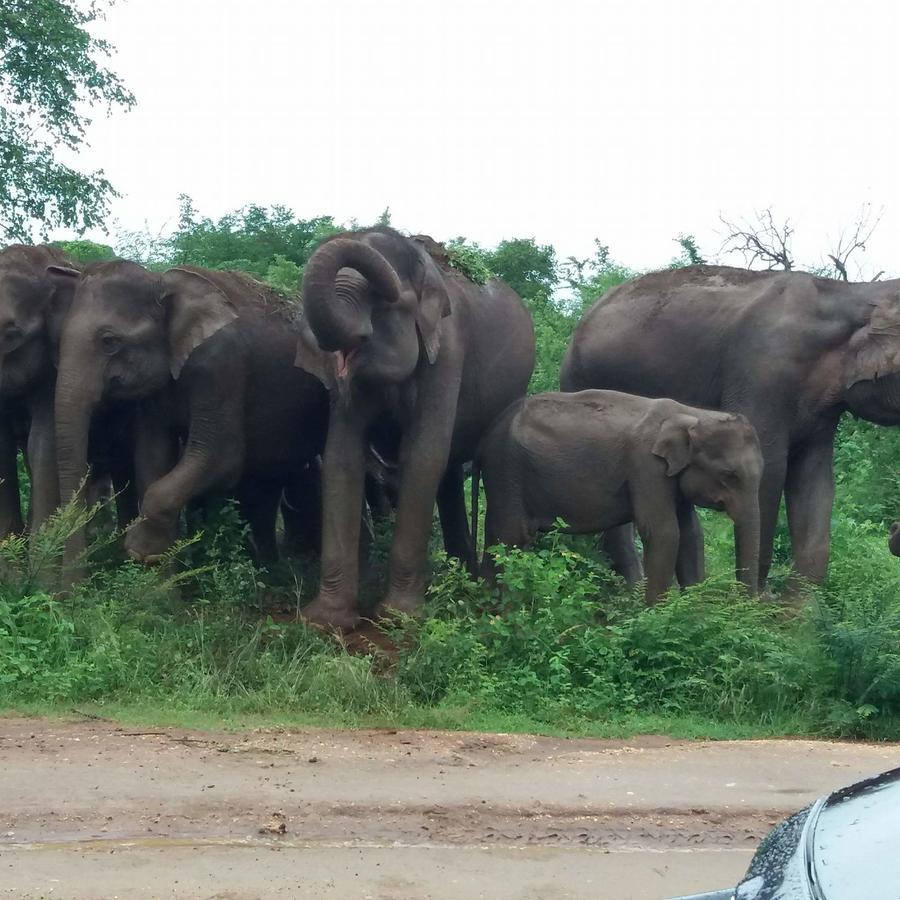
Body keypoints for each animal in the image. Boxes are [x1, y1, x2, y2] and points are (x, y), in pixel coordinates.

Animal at [50, 260, 330, 572]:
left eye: (109, 340)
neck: (160, 280)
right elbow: (152, 456)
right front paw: (158, 566)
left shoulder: (221, 366)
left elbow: (220, 458)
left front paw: (141, 549)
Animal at [296, 229, 536, 628]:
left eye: (385, 300)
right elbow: (341, 457)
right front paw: (325, 621)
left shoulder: (449, 352)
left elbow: (423, 457)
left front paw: (397, 618)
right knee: (450, 475)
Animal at [474, 388, 764, 604]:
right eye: (729, 475)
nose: (746, 604)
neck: (693, 415)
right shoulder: (646, 467)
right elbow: (664, 533)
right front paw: (656, 616)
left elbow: (691, 534)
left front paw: (695, 609)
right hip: (506, 469)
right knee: (510, 537)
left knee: (498, 535)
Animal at [564, 264, 900, 596]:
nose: (893, 531)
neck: (850, 293)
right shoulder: (762, 374)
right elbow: (771, 473)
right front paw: (757, 604)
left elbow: (815, 481)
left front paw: (795, 612)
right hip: (582, 383)